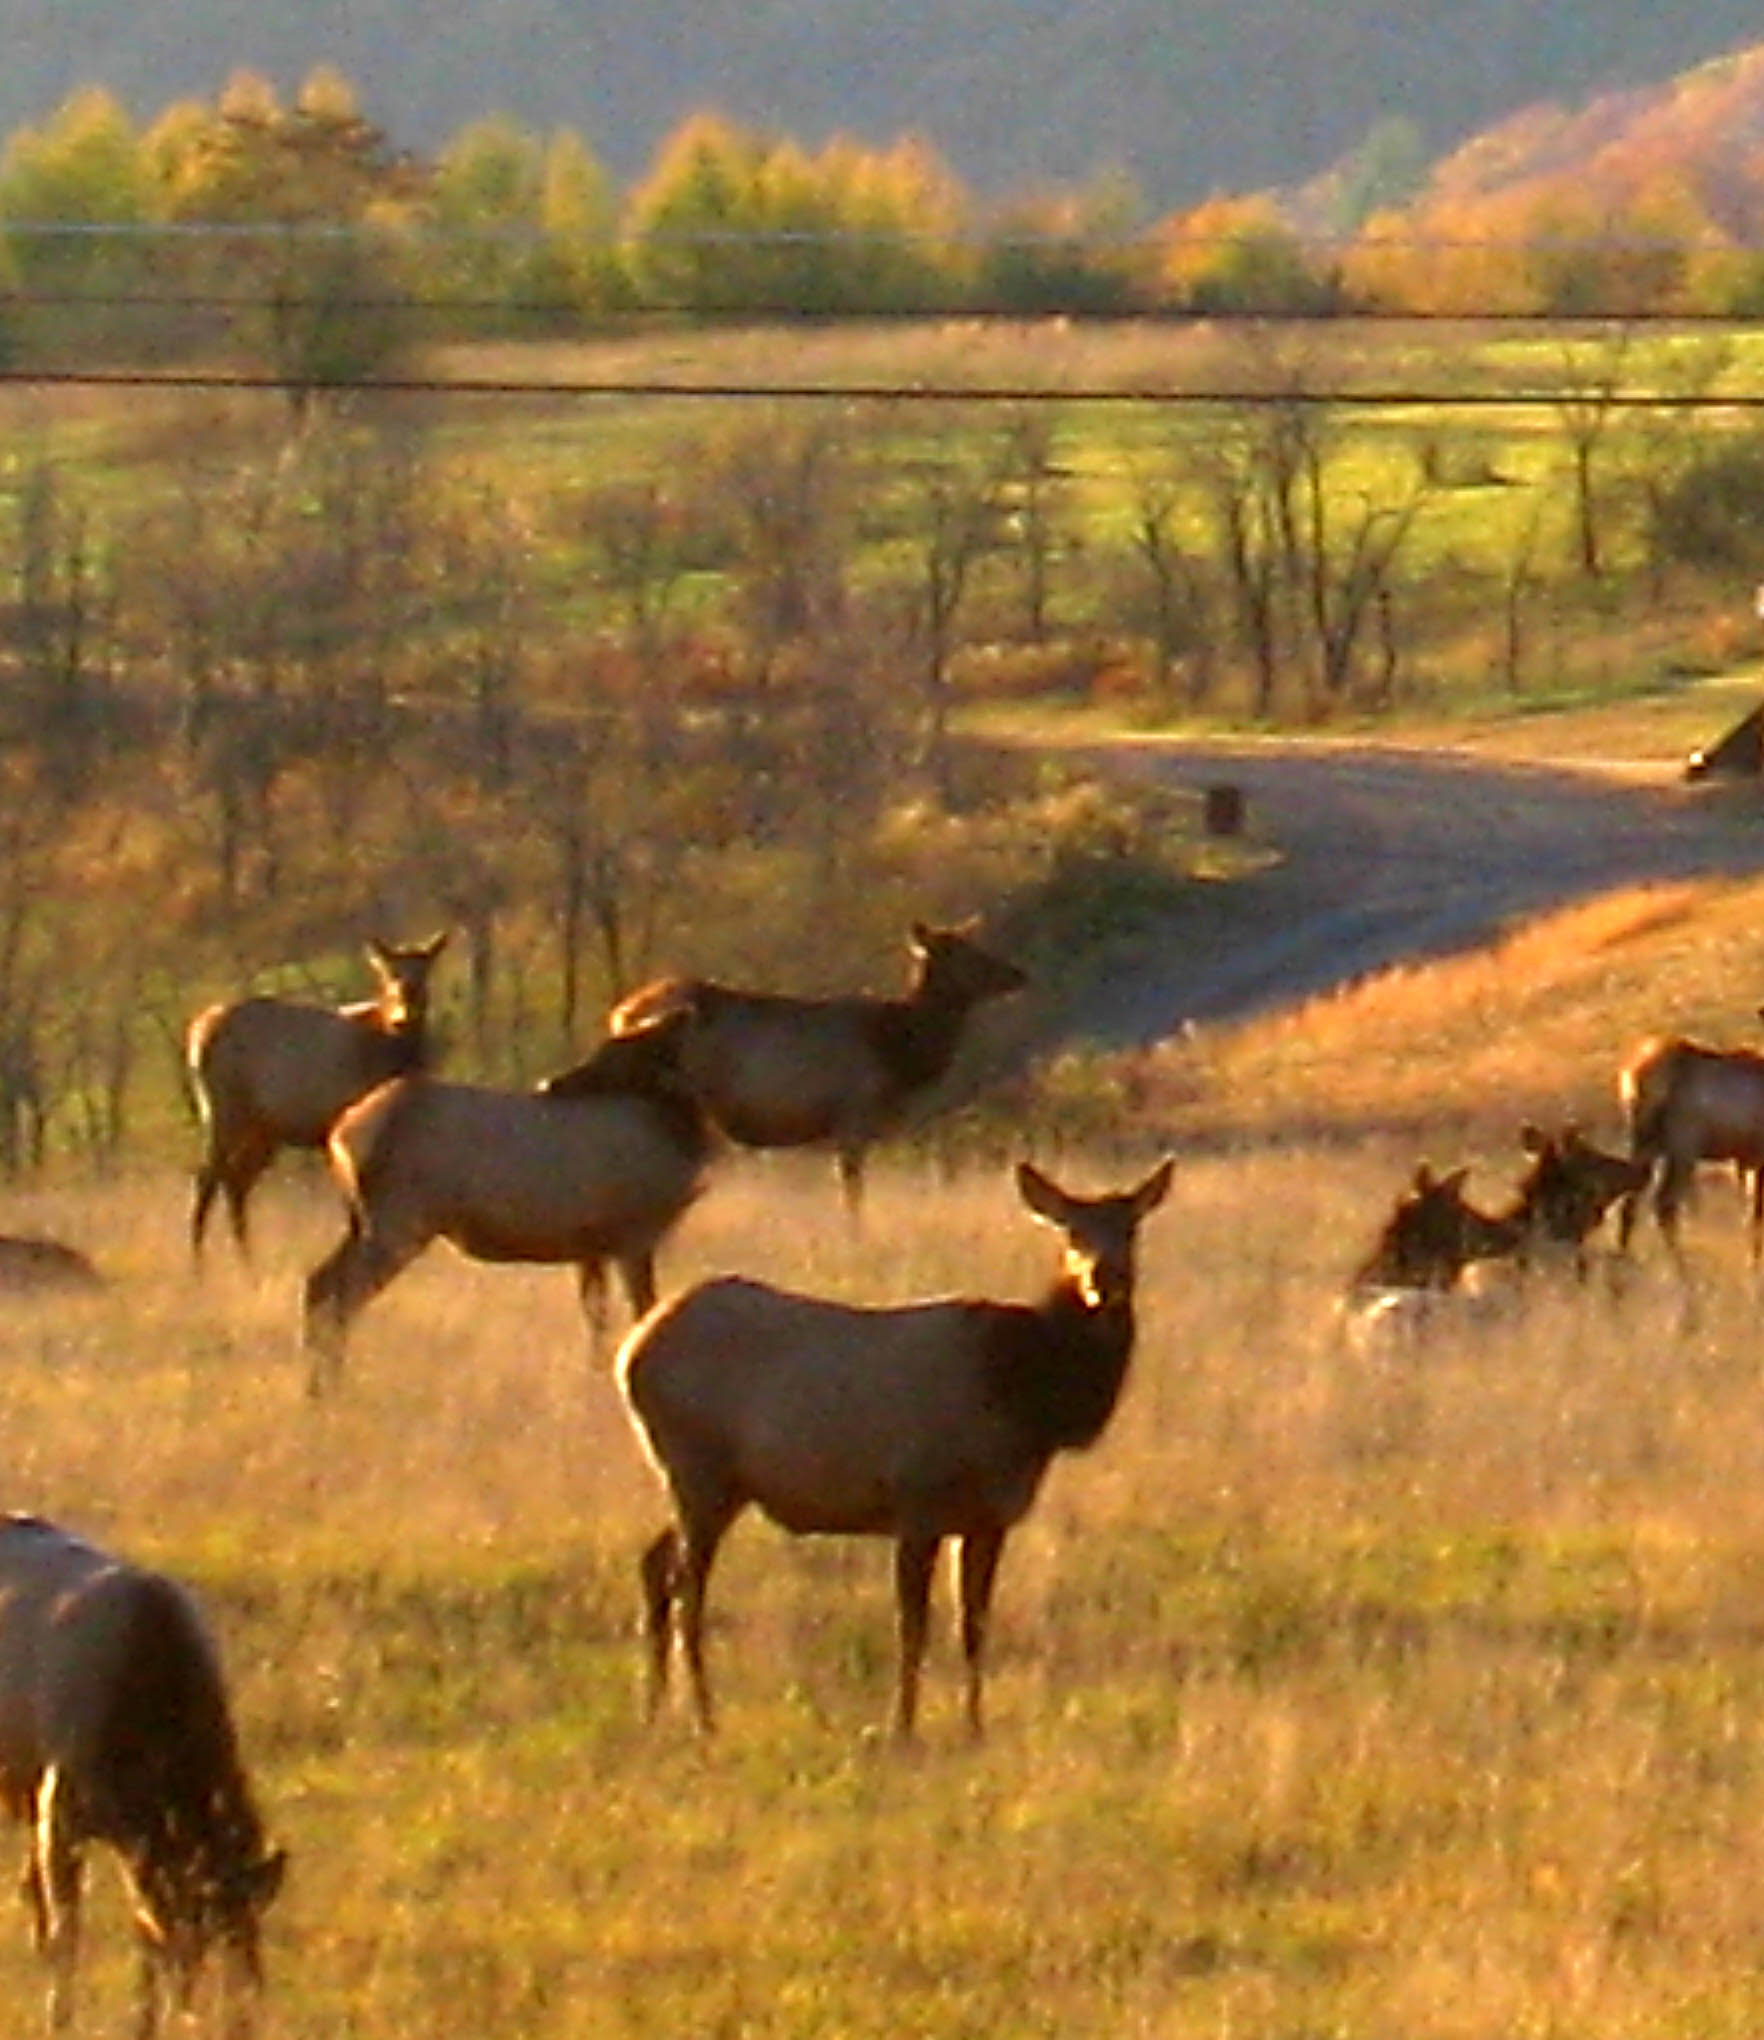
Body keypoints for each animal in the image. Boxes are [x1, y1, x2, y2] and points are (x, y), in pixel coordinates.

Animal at [0, 1509, 283, 2031]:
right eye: (191, 1949)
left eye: (248, 1936)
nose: (236, 2020)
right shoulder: (62, 1814)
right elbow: (69, 1935)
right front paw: (60, 2017)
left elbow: (134, 1933)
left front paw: (143, 2021)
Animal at [184, 934, 446, 1256]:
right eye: (388, 975)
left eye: (423, 973)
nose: (404, 1017)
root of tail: (197, 1030)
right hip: (223, 1107)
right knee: (206, 1178)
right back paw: (200, 1263)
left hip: (264, 1129)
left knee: (236, 1180)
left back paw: (247, 1260)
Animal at [301, 1007, 717, 1395]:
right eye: (616, 1044)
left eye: (628, 1046)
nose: (552, 1083)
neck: (677, 1130)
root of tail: (341, 1135)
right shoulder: (633, 1234)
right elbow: (643, 1311)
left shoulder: (591, 1245)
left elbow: (597, 1314)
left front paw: (595, 1375)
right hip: (398, 1220)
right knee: (341, 1297)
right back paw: (330, 1387)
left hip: (362, 1220)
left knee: (320, 1282)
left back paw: (318, 1390)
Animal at [603, 922, 1023, 1215]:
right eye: (964, 954)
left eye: (974, 945)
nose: (1018, 975)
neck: (900, 1050)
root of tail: (622, 1015)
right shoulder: (853, 1116)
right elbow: (852, 1192)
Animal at [615, 1158, 1166, 1746]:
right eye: (1071, 1232)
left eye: (1131, 1227)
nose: (1105, 1279)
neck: (1028, 1401)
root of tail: (630, 1353)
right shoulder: (917, 1498)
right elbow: (914, 1624)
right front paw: (902, 1727)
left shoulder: (988, 1517)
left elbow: (973, 1625)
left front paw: (974, 1727)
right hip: (697, 1468)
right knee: (686, 1586)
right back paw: (703, 1717)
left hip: (713, 1484)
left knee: (654, 1563)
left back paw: (653, 1709)